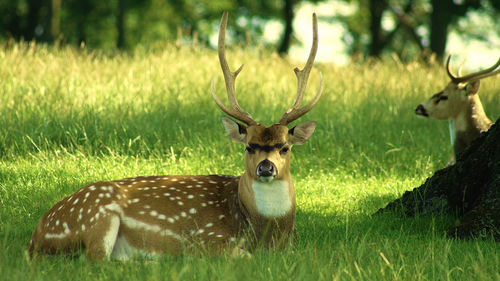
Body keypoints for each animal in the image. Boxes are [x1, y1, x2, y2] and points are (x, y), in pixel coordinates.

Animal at [28, 12, 324, 260]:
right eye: (249, 146)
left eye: (285, 147)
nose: (266, 167)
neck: (269, 235)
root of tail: (35, 237)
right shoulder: (207, 239)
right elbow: (242, 256)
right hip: (97, 216)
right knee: (96, 260)